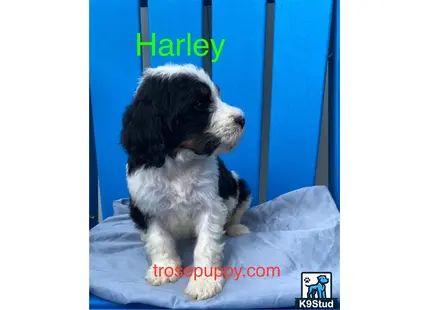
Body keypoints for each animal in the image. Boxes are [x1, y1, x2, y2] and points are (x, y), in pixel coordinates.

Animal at [119, 62, 252, 300]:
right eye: (199, 104)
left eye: (217, 95)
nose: (242, 119)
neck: (178, 164)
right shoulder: (145, 205)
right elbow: (158, 239)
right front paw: (164, 268)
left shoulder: (211, 205)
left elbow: (206, 244)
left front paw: (204, 282)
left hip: (240, 187)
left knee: (235, 214)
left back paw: (236, 228)